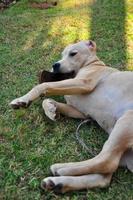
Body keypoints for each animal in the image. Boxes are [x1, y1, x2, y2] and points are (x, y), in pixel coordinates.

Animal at [10, 41, 133, 194]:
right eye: (62, 55)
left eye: (73, 53)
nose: (55, 65)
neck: (93, 64)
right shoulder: (81, 112)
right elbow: (49, 100)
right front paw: (51, 110)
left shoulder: (84, 83)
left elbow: (44, 84)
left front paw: (22, 100)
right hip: (122, 147)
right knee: (104, 178)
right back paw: (57, 183)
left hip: (126, 122)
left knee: (107, 161)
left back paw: (61, 169)